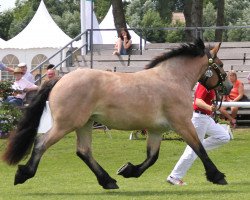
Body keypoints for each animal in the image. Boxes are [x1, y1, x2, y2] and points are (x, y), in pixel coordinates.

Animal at [1, 39, 232, 189]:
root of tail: (60, 78)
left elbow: (152, 157)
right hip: (66, 124)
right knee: (42, 143)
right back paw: (23, 174)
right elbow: (199, 148)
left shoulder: (157, 130)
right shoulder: (182, 123)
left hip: (84, 125)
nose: (228, 87)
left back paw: (109, 181)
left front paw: (128, 170)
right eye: (220, 65)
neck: (172, 79)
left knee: (83, 151)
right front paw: (218, 176)